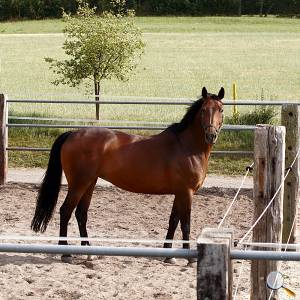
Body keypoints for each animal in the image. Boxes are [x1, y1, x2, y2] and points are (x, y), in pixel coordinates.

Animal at [30, 86, 224, 262]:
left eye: (221, 109)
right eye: (204, 110)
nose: (211, 135)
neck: (185, 146)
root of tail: (72, 134)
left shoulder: (179, 192)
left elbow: (173, 221)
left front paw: (169, 255)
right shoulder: (186, 192)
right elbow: (186, 224)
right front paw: (190, 258)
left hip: (90, 183)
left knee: (81, 214)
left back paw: (88, 251)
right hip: (79, 184)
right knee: (66, 211)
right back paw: (66, 253)